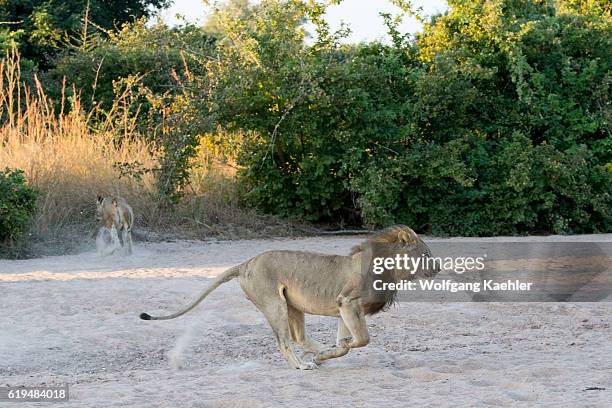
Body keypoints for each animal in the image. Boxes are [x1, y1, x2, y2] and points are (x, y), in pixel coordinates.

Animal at [140, 226, 436, 370]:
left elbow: (346, 343)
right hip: (275, 305)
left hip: (293, 306)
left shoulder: (346, 307)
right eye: (425, 254)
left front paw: (328, 353)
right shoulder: (348, 302)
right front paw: (330, 353)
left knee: (299, 337)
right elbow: (362, 339)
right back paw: (302, 365)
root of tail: (245, 263)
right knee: (284, 342)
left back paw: (314, 354)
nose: (437, 267)